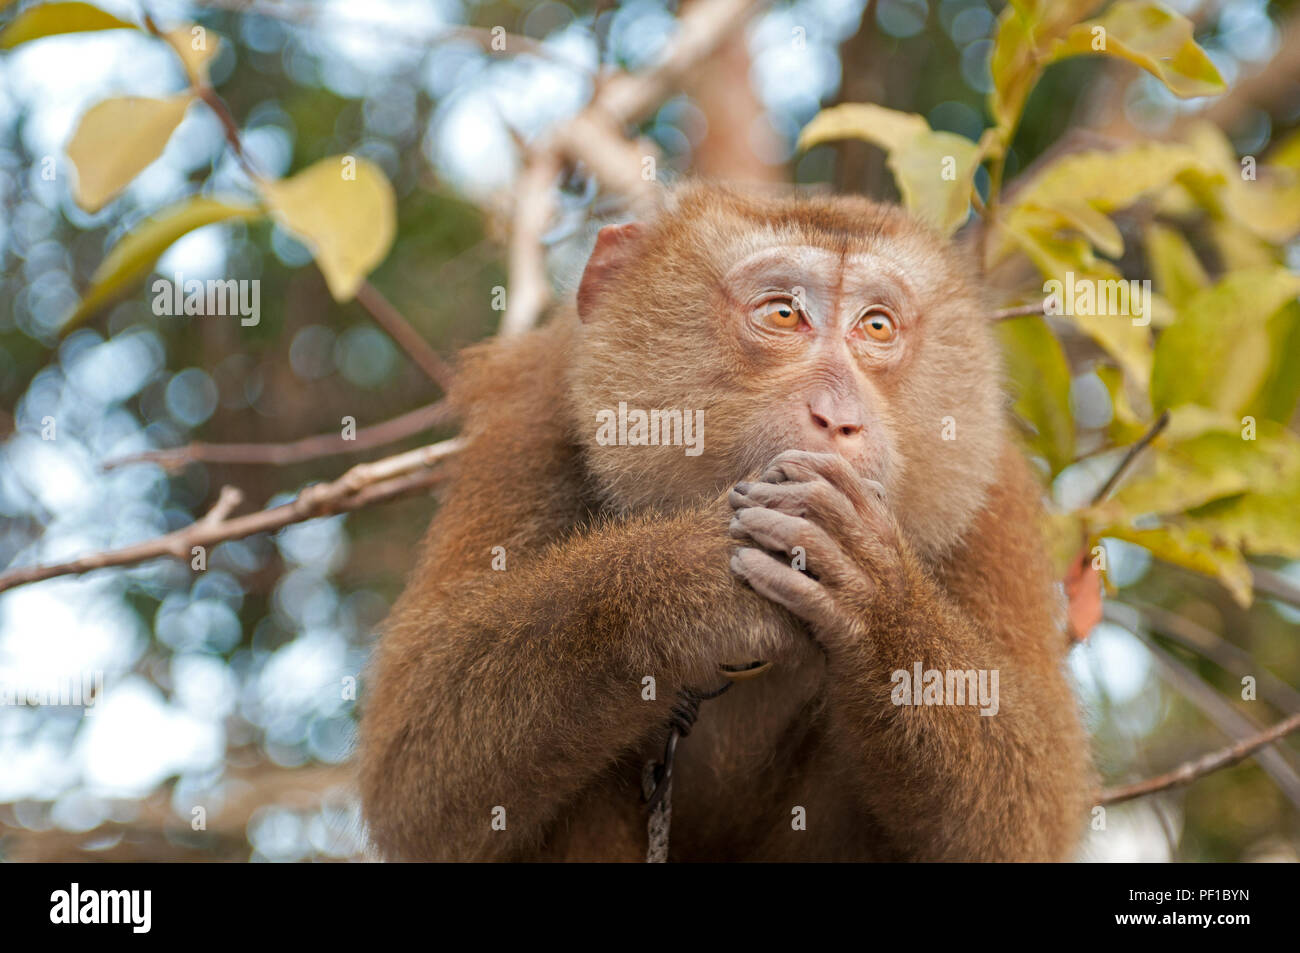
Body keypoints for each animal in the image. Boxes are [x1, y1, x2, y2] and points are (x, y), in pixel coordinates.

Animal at [361, 182, 1092, 858]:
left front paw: (874, 598)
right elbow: (417, 772)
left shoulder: (991, 495)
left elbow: (1026, 820)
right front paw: (684, 581)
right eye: (783, 313)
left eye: (877, 326)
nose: (838, 417)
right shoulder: (530, 422)